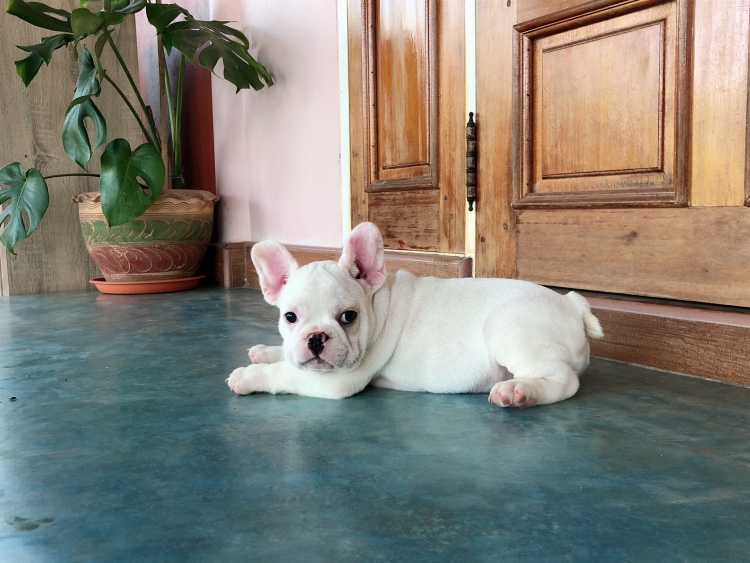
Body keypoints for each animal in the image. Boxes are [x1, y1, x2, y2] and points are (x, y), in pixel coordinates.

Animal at [227, 222, 603, 408]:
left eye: (348, 317)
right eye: (290, 317)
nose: (316, 338)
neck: (377, 302)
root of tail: (572, 303)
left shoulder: (337, 379)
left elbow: (284, 374)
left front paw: (248, 375)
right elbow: (287, 356)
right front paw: (265, 352)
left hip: (508, 326)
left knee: (563, 381)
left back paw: (520, 391)